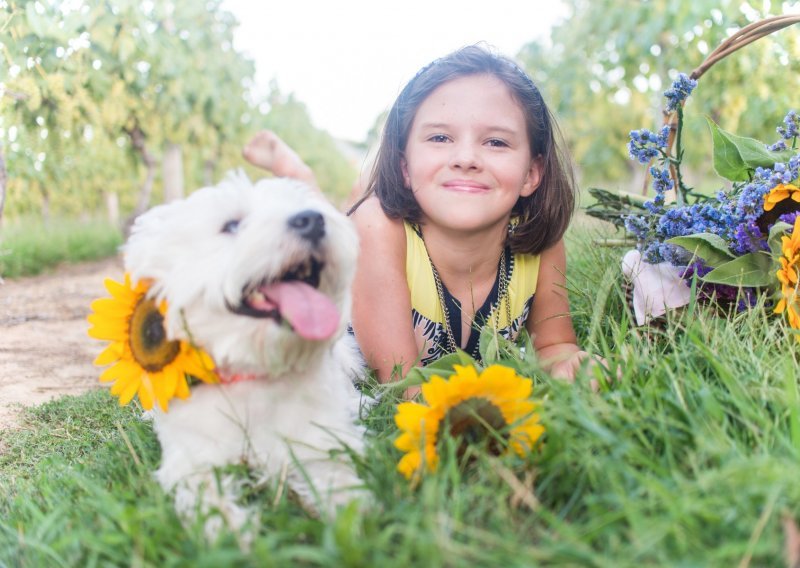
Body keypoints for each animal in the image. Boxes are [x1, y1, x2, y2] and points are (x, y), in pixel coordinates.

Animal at [124, 173, 366, 540]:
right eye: (232, 225)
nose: (312, 219)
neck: (253, 368)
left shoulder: (315, 436)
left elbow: (333, 472)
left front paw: (348, 516)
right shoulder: (191, 458)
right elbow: (205, 493)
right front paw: (228, 530)